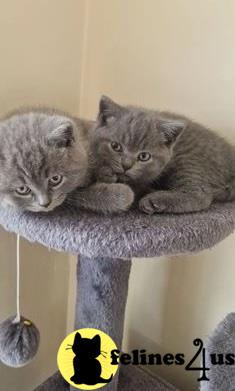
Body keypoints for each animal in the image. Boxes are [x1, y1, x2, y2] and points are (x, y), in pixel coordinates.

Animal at [0, 108, 133, 214]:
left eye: (55, 179)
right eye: (22, 189)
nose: (45, 204)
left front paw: (106, 173)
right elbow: (79, 195)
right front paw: (121, 195)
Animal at [90, 97, 235, 216]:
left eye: (144, 156)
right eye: (115, 146)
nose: (126, 165)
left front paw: (105, 173)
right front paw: (104, 172)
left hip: (188, 158)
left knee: (201, 194)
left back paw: (154, 200)